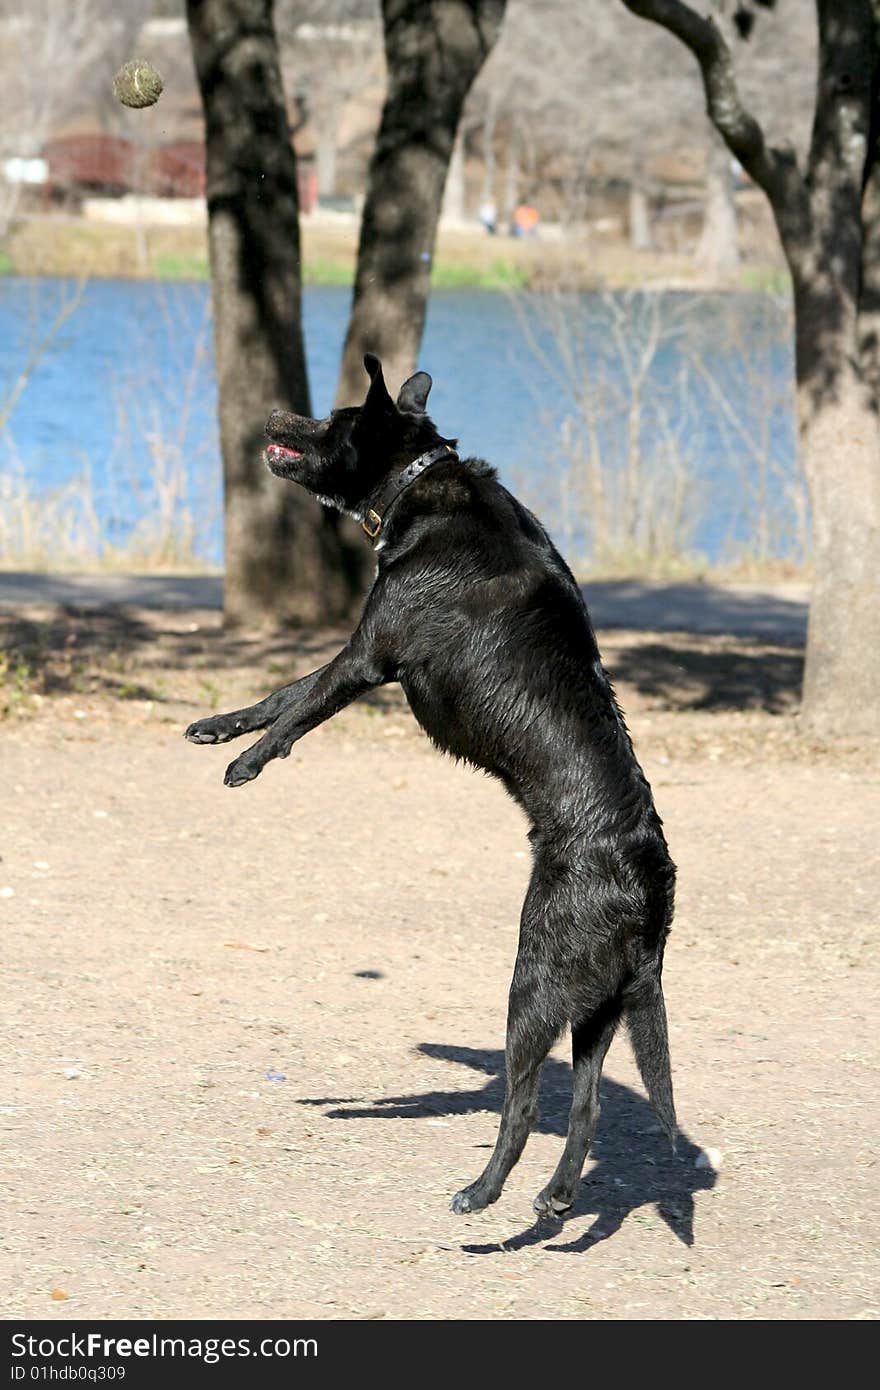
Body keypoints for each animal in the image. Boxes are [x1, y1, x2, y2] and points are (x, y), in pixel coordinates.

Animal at [184, 358, 675, 1217]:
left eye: (334, 420)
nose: (275, 411)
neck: (421, 483)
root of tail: (649, 877)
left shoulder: (368, 655)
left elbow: (302, 708)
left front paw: (249, 762)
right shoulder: (359, 650)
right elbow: (279, 693)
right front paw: (219, 726)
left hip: (536, 977)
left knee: (524, 1102)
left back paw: (481, 1194)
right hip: (598, 1007)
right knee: (582, 1109)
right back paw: (553, 1200)